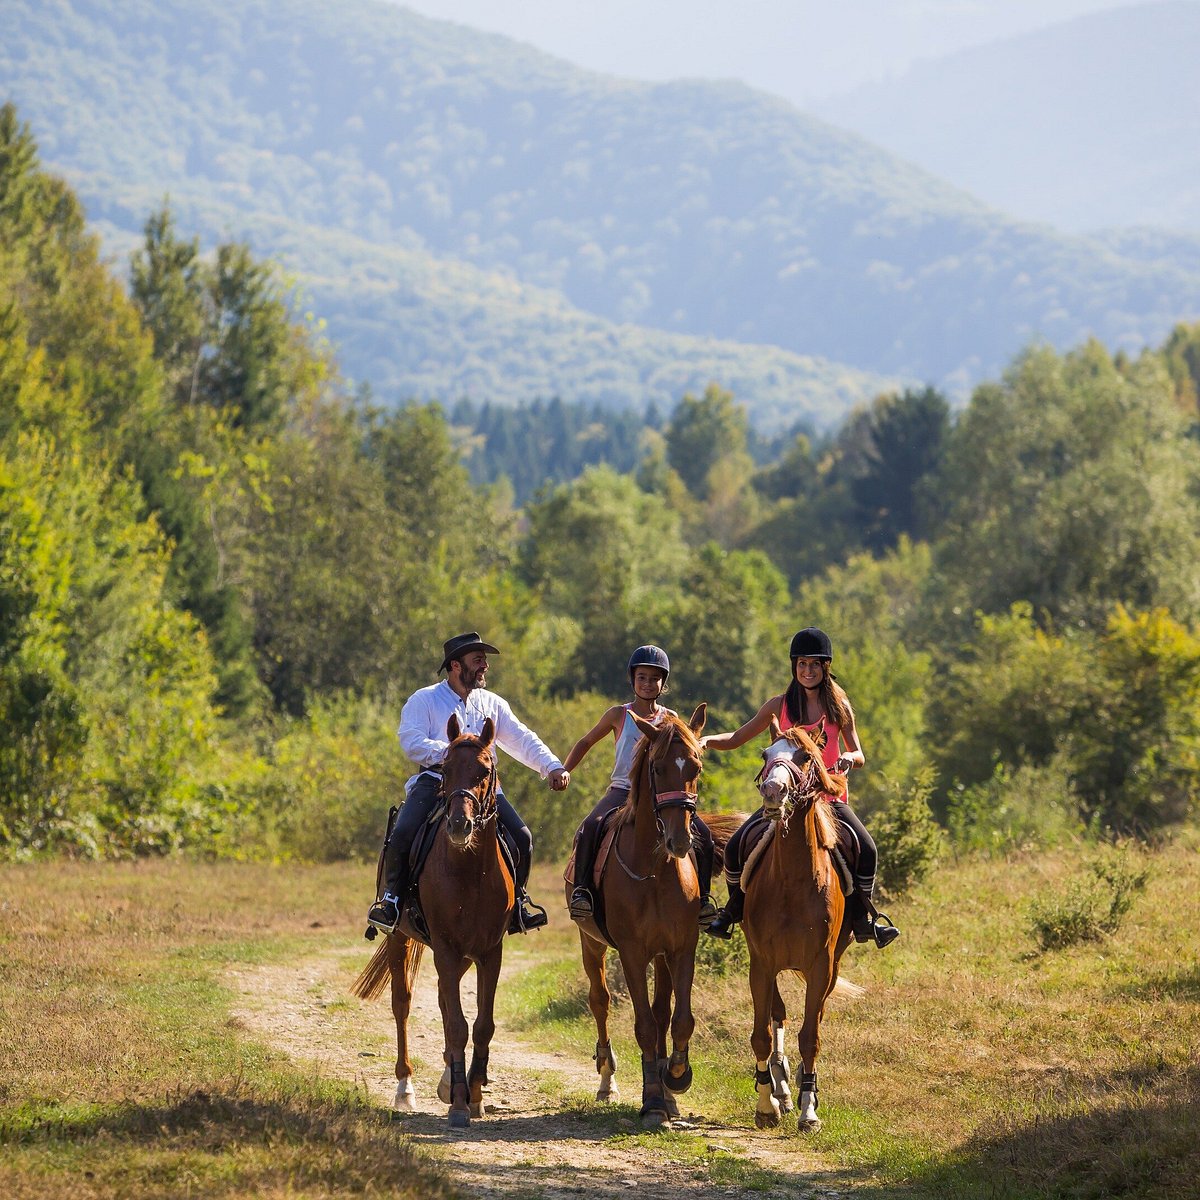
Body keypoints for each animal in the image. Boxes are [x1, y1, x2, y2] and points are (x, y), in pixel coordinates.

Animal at [350, 715, 511, 1128]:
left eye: (484, 771)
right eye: (445, 769)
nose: (458, 826)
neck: (471, 871)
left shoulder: (490, 952)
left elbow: (481, 1025)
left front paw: (473, 1095)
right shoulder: (446, 949)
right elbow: (456, 1024)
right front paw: (458, 1105)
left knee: (441, 1001)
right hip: (402, 940)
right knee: (403, 1003)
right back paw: (406, 1088)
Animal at [566, 700, 715, 1123]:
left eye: (696, 767)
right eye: (658, 768)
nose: (680, 840)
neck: (655, 870)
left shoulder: (680, 949)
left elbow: (678, 1019)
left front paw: (675, 1077)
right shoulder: (632, 953)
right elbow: (645, 1025)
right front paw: (651, 1101)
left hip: (660, 956)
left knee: (663, 1012)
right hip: (591, 944)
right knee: (599, 1001)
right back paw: (607, 1082)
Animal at [739, 720, 854, 1132]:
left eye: (805, 756)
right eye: (765, 754)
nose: (773, 791)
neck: (792, 878)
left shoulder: (821, 965)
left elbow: (811, 1037)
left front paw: (809, 1110)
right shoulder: (762, 963)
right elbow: (761, 1033)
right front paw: (766, 1104)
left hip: (832, 966)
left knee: (812, 1019)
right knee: (778, 1015)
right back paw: (782, 1089)